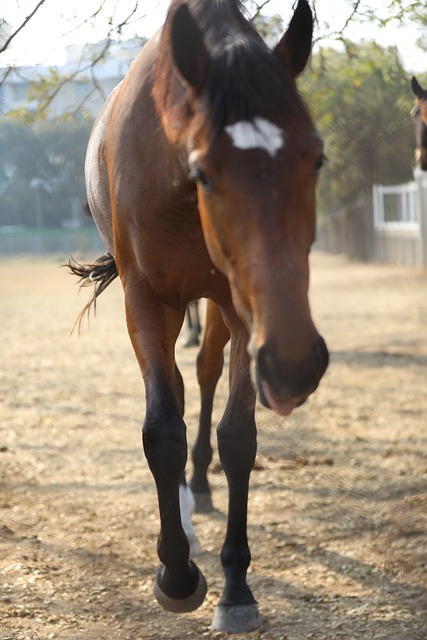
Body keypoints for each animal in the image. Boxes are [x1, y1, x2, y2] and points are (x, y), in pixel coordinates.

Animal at [70, 0, 330, 632]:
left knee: (207, 374)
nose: (296, 364)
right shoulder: (144, 299)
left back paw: (201, 483)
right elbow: (161, 430)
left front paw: (236, 587)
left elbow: (238, 435)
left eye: (316, 158)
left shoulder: (247, 311)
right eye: (205, 171)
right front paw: (176, 574)